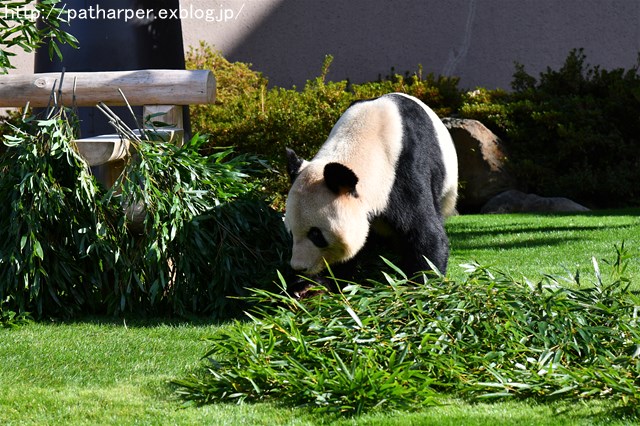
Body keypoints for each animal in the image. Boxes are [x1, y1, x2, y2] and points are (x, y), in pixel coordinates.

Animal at [284, 93, 456, 284]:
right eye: (291, 232)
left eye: (316, 234)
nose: (299, 267)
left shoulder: (404, 169)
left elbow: (424, 233)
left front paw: (424, 282)